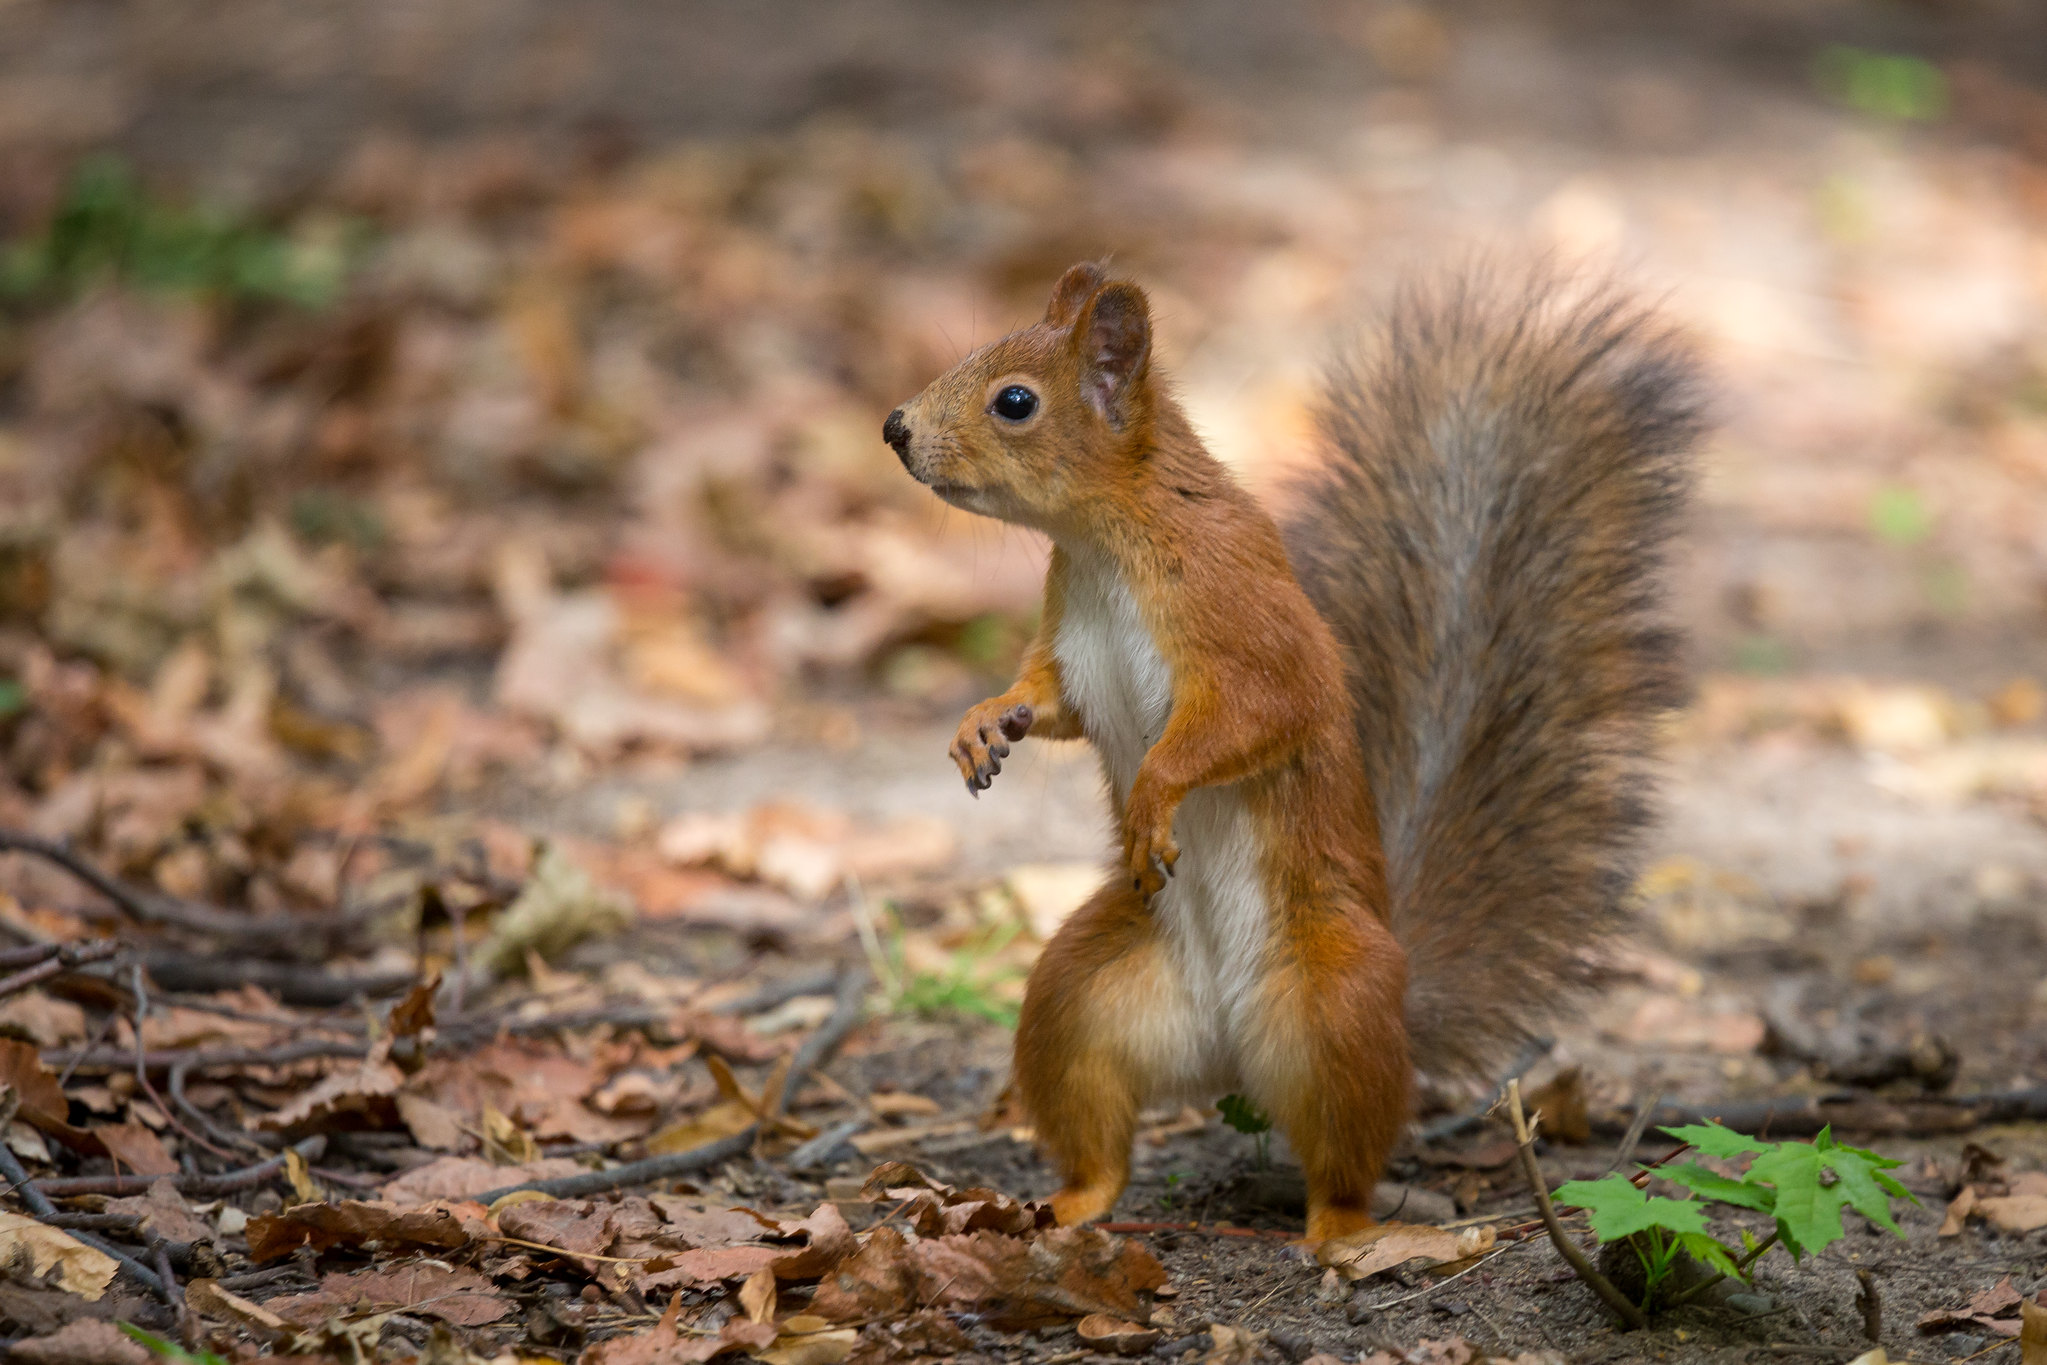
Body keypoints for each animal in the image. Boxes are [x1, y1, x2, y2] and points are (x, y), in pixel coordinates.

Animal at [880, 261, 1694, 1244]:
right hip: (1075, 1002)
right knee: (1096, 1129)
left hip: (1333, 1004)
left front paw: (1152, 797)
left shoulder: (1242, 618)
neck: (1105, 540)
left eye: (1014, 401)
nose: (895, 428)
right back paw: (1069, 1203)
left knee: (1345, 1156)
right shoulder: (1069, 645)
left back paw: (1342, 1232)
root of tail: (1227, 1053)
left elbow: (1256, 716)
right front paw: (981, 722)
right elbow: (1048, 702)